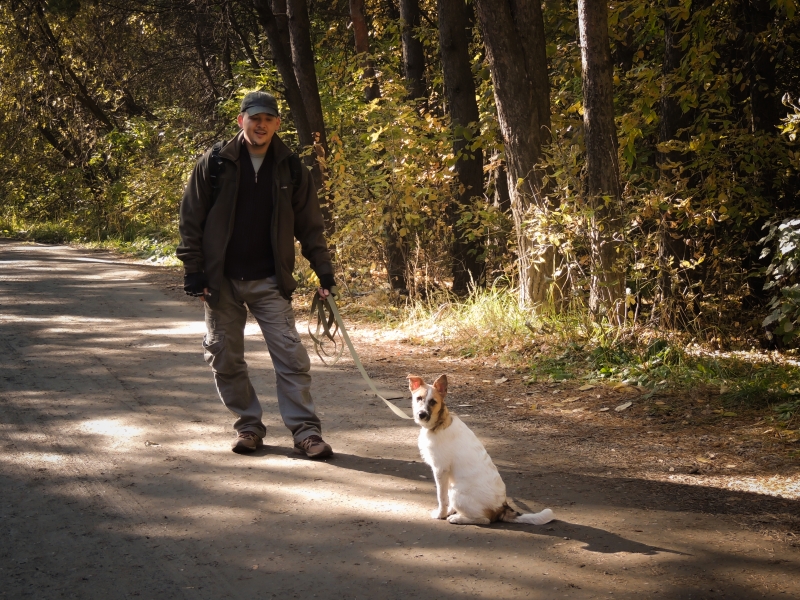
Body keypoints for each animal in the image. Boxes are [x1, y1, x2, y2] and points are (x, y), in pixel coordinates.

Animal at [410, 376, 552, 524]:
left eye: (433, 402)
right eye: (418, 398)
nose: (421, 414)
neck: (439, 423)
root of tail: (502, 508)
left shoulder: (440, 469)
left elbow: (441, 497)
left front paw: (441, 514)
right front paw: (446, 512)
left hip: (457, 492)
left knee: (484, 520)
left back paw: (458, 518)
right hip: (454, 486)